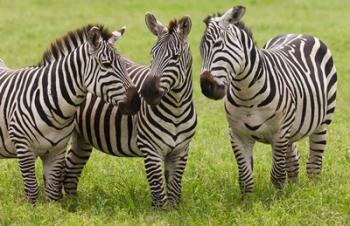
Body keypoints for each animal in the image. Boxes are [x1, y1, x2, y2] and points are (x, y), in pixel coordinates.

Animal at [0, 24, 140, 203]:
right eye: (106, 65)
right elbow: (32, 190)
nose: (136, 102)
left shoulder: (57, 151)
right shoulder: (23, 147)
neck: (55, 105)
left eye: (124, 64)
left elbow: (52, 193)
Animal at [63, 13, 197, 208]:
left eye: (175, 56)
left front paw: (175, 211)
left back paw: (73, 205)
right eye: (152, 53)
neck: (176, 109)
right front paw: (159, 213)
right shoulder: (150, 149)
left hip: (82, 137)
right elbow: (158, 192)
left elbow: (174, 191)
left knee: (71, 169)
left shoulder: (181, 151)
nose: (147, 92)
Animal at [198, 5, 338, 196]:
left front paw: (277, 200)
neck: (247, 94)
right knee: (294, 160)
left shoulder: (279, 133)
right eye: (200, 49)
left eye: (219, 44)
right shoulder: (237, 134)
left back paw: (312, 191)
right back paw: (294, 188)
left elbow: (277, 175)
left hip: (321, 123)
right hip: (291, 129)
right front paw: (247, 202)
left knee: (314, 164)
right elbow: (245, 178)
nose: (207, 87)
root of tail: (299, 33)